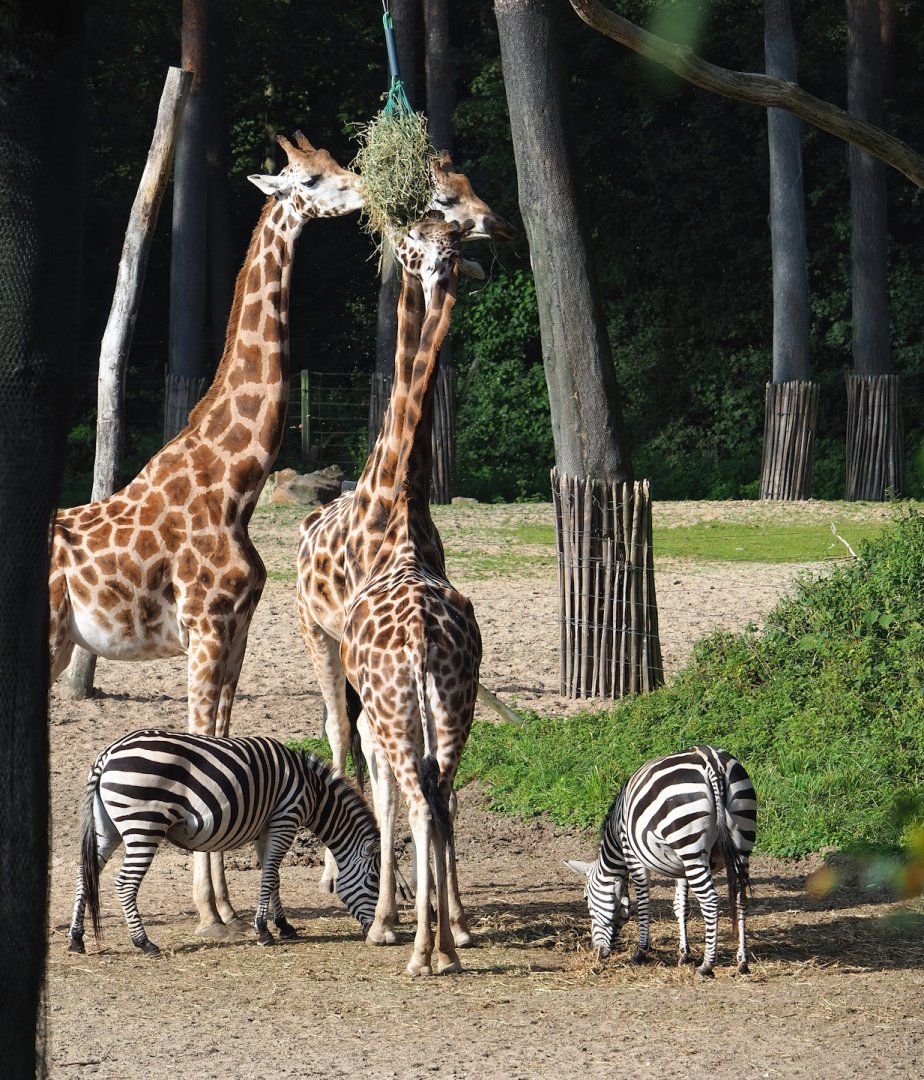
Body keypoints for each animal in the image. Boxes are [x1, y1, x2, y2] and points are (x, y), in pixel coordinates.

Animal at [49, 132, 364, 938]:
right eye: (311, 179)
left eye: (339, 163)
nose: (362, 193)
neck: (236, 481)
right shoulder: (205, 626)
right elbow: (201, 745)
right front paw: (208, 910)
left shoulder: (236, 630)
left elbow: (220, 742)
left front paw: (220, 902)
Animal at [67, 729, 381, 957]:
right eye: (374, 881)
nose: (372, 930)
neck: (313, 791)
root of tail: (108, 754)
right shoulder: (285, 819)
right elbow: (270, 877)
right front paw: (264, 931)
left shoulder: (267, 829)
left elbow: (274, 878)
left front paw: (284, 926)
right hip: (144, 826)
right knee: (125, 884)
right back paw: (144, 943)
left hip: (107, 828)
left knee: (85, 874)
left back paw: (76, 939)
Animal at [296, 157, 513, 896]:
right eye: (442, 199)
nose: (495, 228)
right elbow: (382, 762)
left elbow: (431, 786)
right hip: (317, 634)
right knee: (342, 734)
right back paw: (340, 870)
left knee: (389, 757)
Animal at [567, 745, 756, 979]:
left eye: (586, 899)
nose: (597, 951)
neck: (617, 838)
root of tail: (711, 760)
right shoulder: (681, 867)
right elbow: (680, 905)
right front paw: (684, 954)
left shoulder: (633, 856)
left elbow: (643, 902)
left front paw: (641, 951)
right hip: (739, 844)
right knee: (741, 899)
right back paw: (742, 962)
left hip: (691, 845)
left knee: (710, 901)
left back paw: (707, 965)